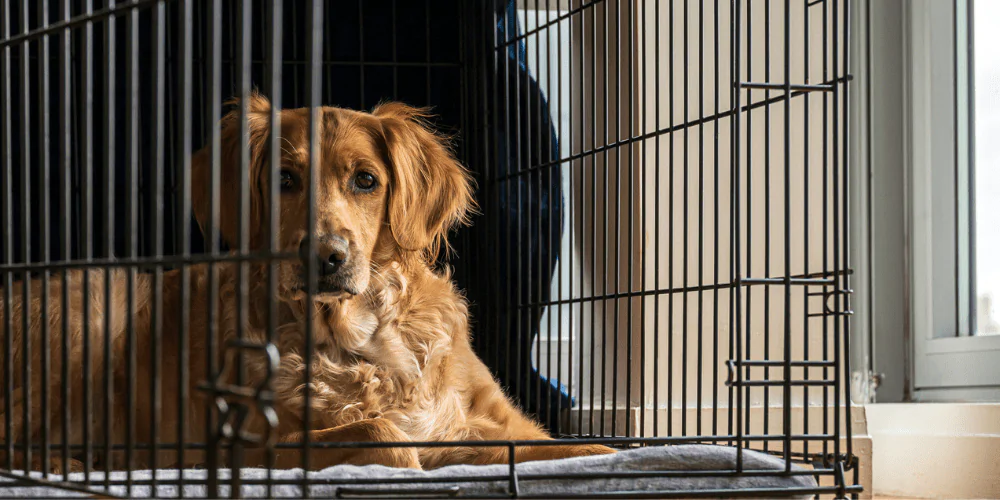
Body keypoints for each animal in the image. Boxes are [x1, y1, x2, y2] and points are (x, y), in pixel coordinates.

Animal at [0, 95, 612, 474]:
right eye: (284, 179)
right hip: (92, 306)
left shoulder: (501, 424)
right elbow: (386, 435)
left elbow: (590, 448)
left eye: (366, 180)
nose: (326, 256)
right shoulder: (237, 445)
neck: (364, 339)